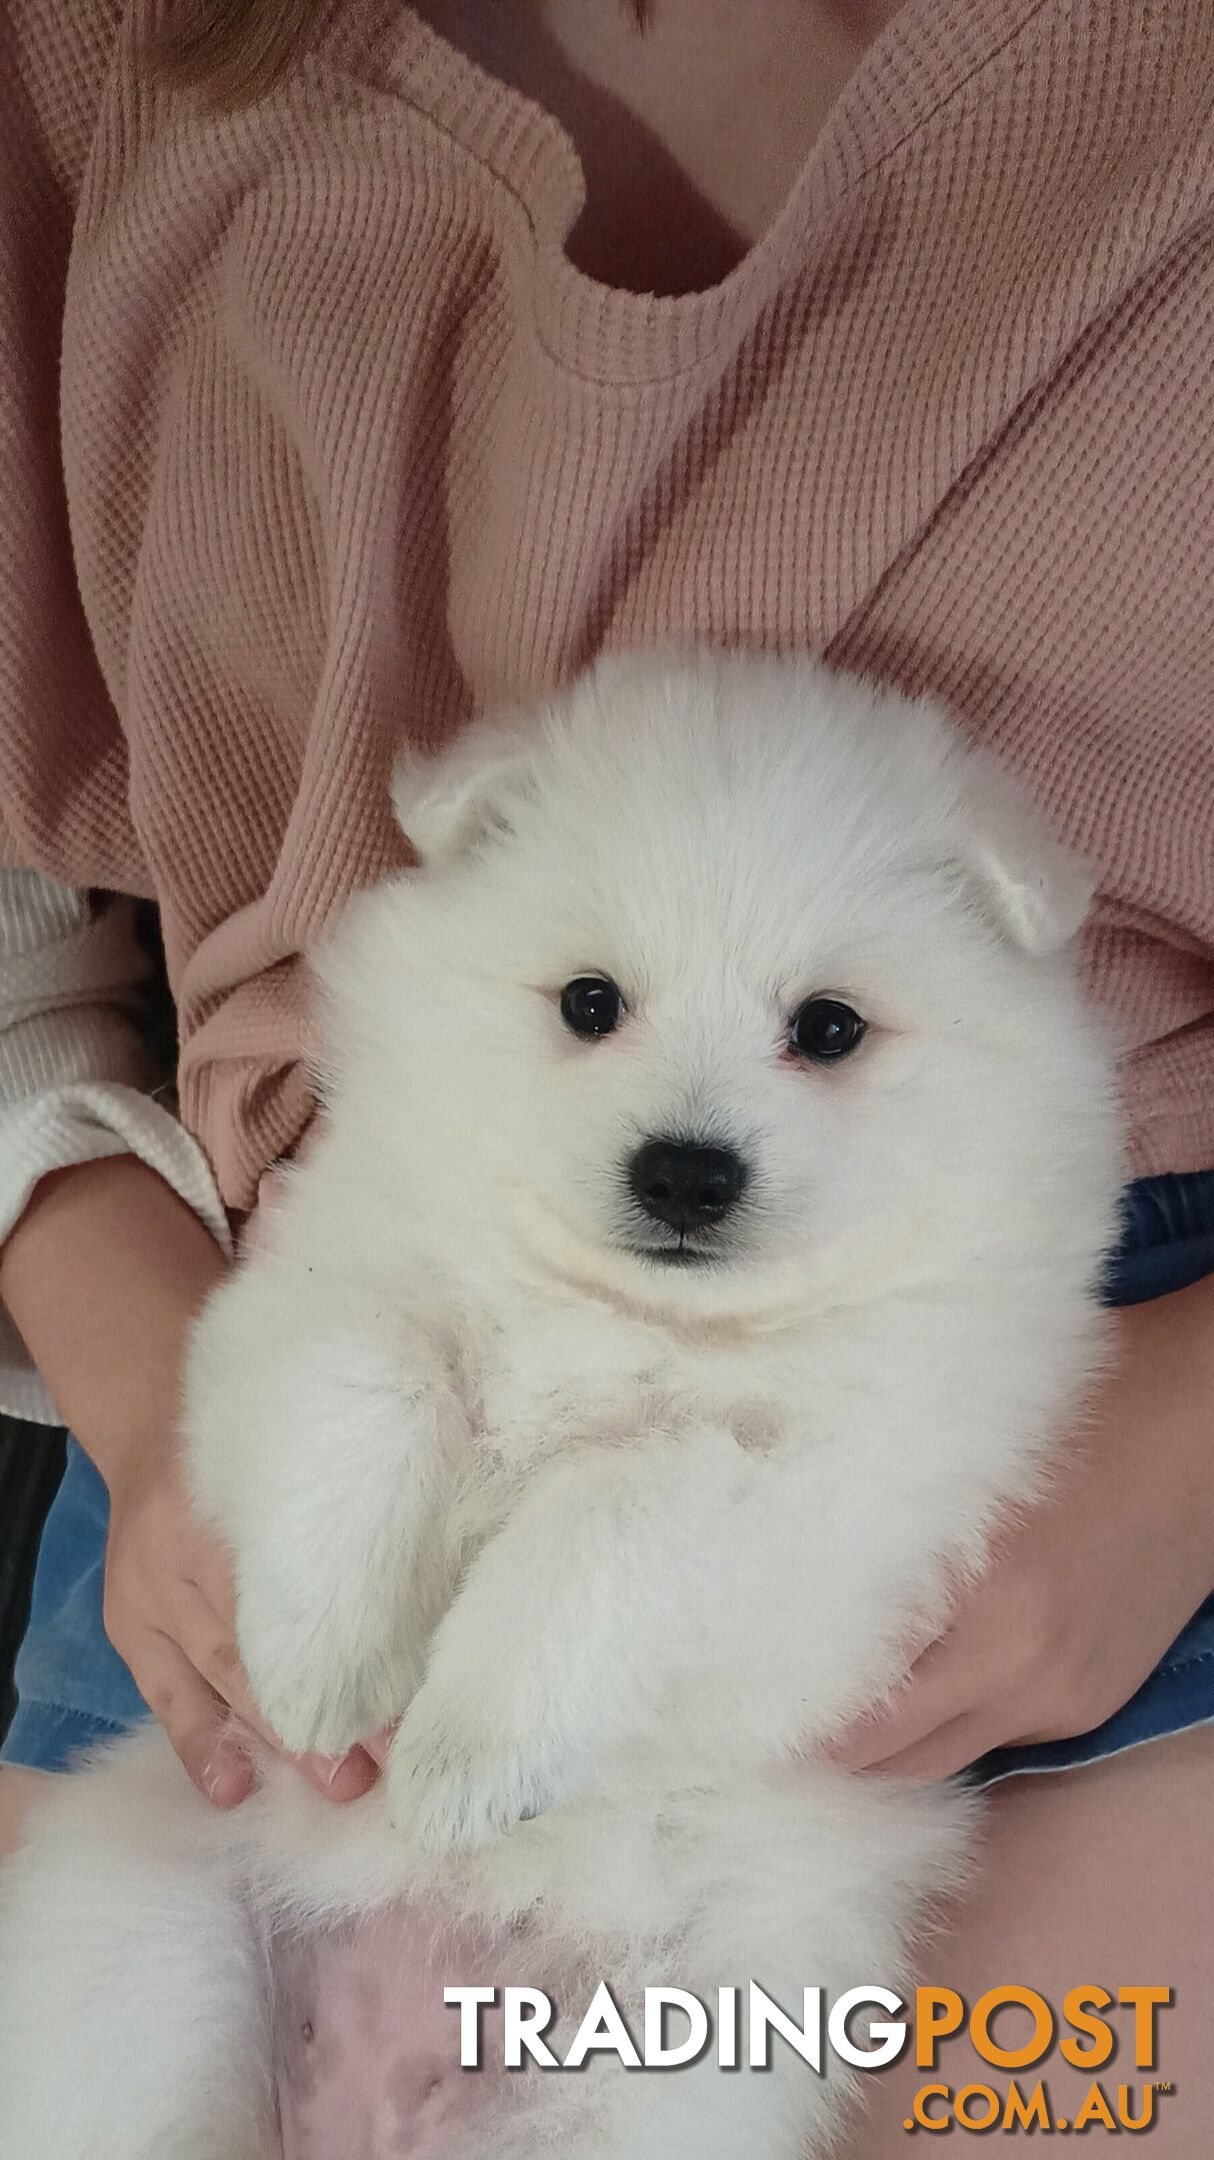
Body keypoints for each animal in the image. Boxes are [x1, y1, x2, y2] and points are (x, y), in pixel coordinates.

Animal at [0, 652, 1114, 2160]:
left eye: (827, 1029)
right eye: (589, 1003)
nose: (686, 1172)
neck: (625, 1316)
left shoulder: (831, 1516)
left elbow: (620, 1504)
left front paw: (465, 1754)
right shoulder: (297, 1306)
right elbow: (372, 1379)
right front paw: (323, 1660)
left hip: (646, 2092)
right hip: (139, 1953)